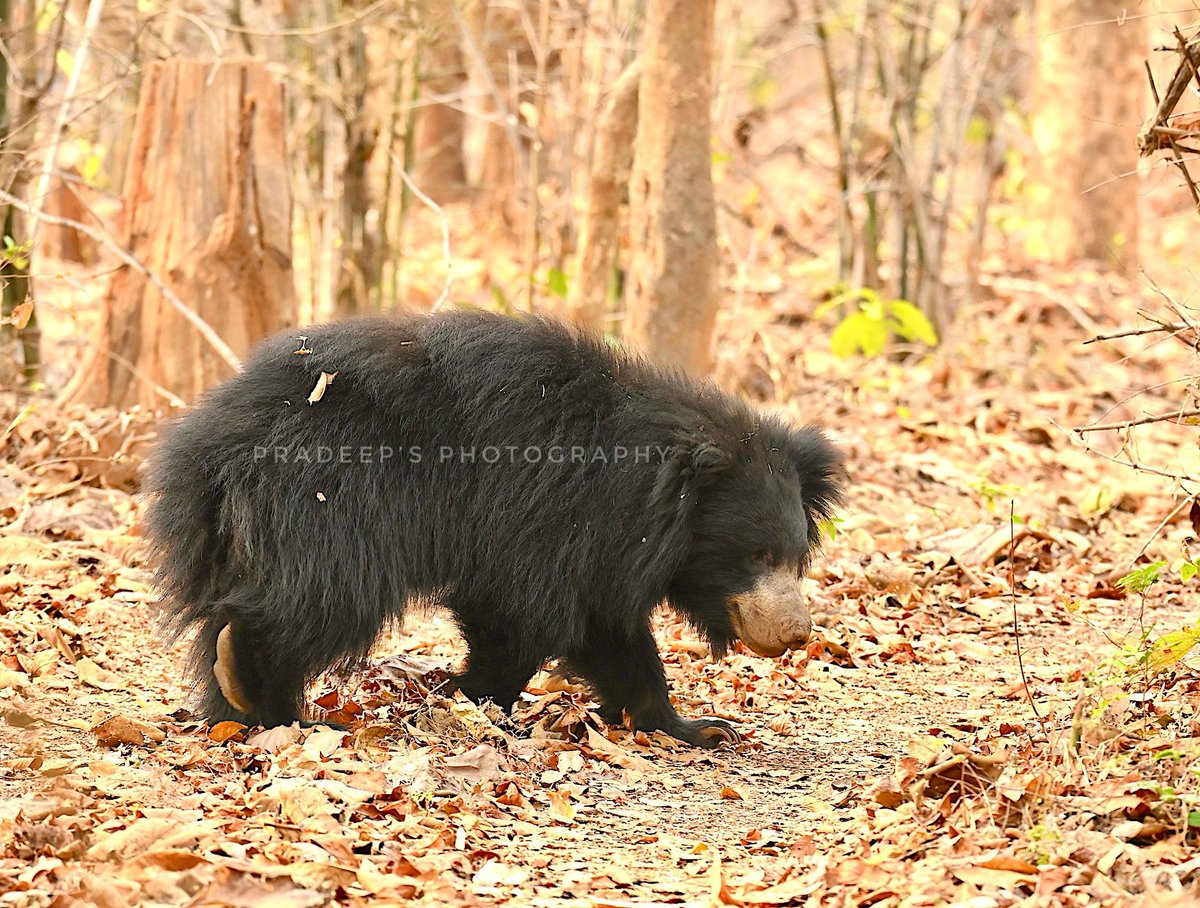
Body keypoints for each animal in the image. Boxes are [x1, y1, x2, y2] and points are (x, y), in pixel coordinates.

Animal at [145, 307, 844, 748]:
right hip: (330, 504)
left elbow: (605, 628)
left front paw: (694, 727)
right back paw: (265, 700)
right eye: (755, 556)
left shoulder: (595, 545)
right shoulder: (548, 512)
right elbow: (526, 613)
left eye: (795, 557)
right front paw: (474, 697)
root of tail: (211, 445)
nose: (796, 633)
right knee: (318, 600)